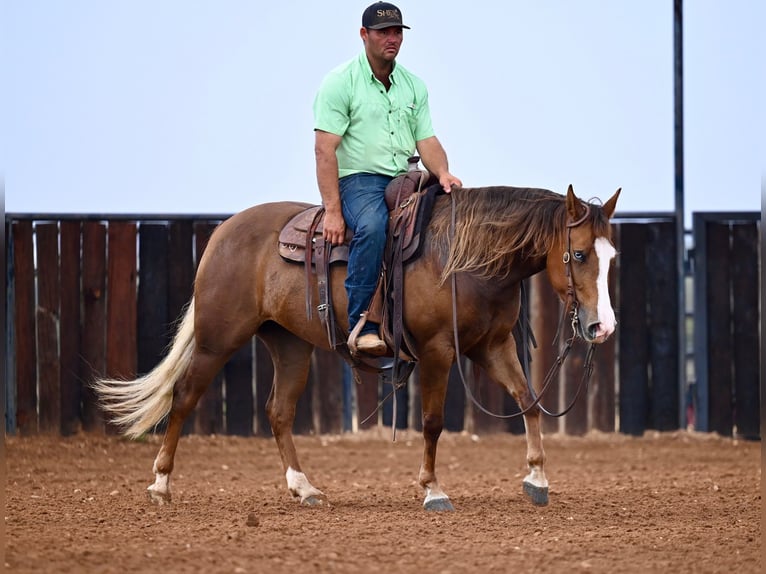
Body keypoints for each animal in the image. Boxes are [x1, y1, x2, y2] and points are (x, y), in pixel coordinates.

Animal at [96, 184, 624, 512]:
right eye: (578, 254)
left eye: (611, 257)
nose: (603, 326)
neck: (464, 258)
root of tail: (224, 231)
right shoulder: (437, 351)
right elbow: (433, 422)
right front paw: (432, 490)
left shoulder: (492, 347)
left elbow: (529, 402)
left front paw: (537, 479)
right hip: (217, 338)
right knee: (184, 396)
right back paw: (160, 484)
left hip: (289, 345)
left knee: (279, 411)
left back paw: (304, 489)